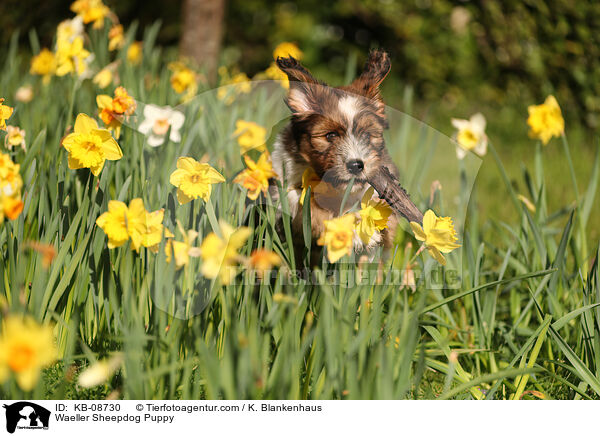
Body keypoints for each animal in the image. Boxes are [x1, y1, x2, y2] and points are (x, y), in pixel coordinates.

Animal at [272, 51, 398, 262]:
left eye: (366, 136)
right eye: (330, 136)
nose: (356, 165)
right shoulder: (285, 187)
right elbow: (310, 208)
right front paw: (353, 233)